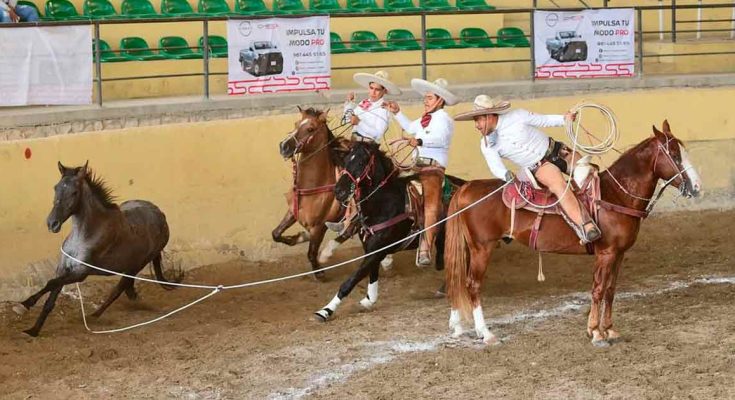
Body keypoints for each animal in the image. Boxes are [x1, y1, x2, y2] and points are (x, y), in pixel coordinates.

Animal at [12, 162, 174, 338]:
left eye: (74, 192)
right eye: (56, 188)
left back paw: (93, 316)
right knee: (127, 288)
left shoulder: (81, 273)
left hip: (136, 266)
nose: (52, 223)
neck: (83, 236)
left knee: (118, 290)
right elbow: (50, 300)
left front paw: (23, 305)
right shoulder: (62, 269)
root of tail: (161, 216)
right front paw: (33, 330)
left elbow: (51, 283)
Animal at [272, 108, 356, 280]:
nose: (284, 146)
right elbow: (276, 233)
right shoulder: (293, 212)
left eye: (310, 129)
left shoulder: (319, 226)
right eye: (296, 123)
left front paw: (319, 271)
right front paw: (297, 238)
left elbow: (311, 252)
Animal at [314, 141, 466, 322]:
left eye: (361, 162)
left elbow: (351, 281)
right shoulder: (372, 249)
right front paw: (369, 300)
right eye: (345, 161)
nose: (339, 191)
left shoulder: (377, 250)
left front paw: (325, 310)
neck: (383, 204)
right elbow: (372, 274)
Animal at [446, 119, 704, 346]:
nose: (697, 187)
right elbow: (598, 289)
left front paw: (610, 329)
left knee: (457, 282)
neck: (614, 196)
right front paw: (596, 333)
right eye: (675, 154)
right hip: (482, 248)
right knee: (472, 285)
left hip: (471, 248)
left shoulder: (619, 254)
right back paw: (486, 333)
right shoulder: (606, 253)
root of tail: (466, 187)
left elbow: (611, 290)